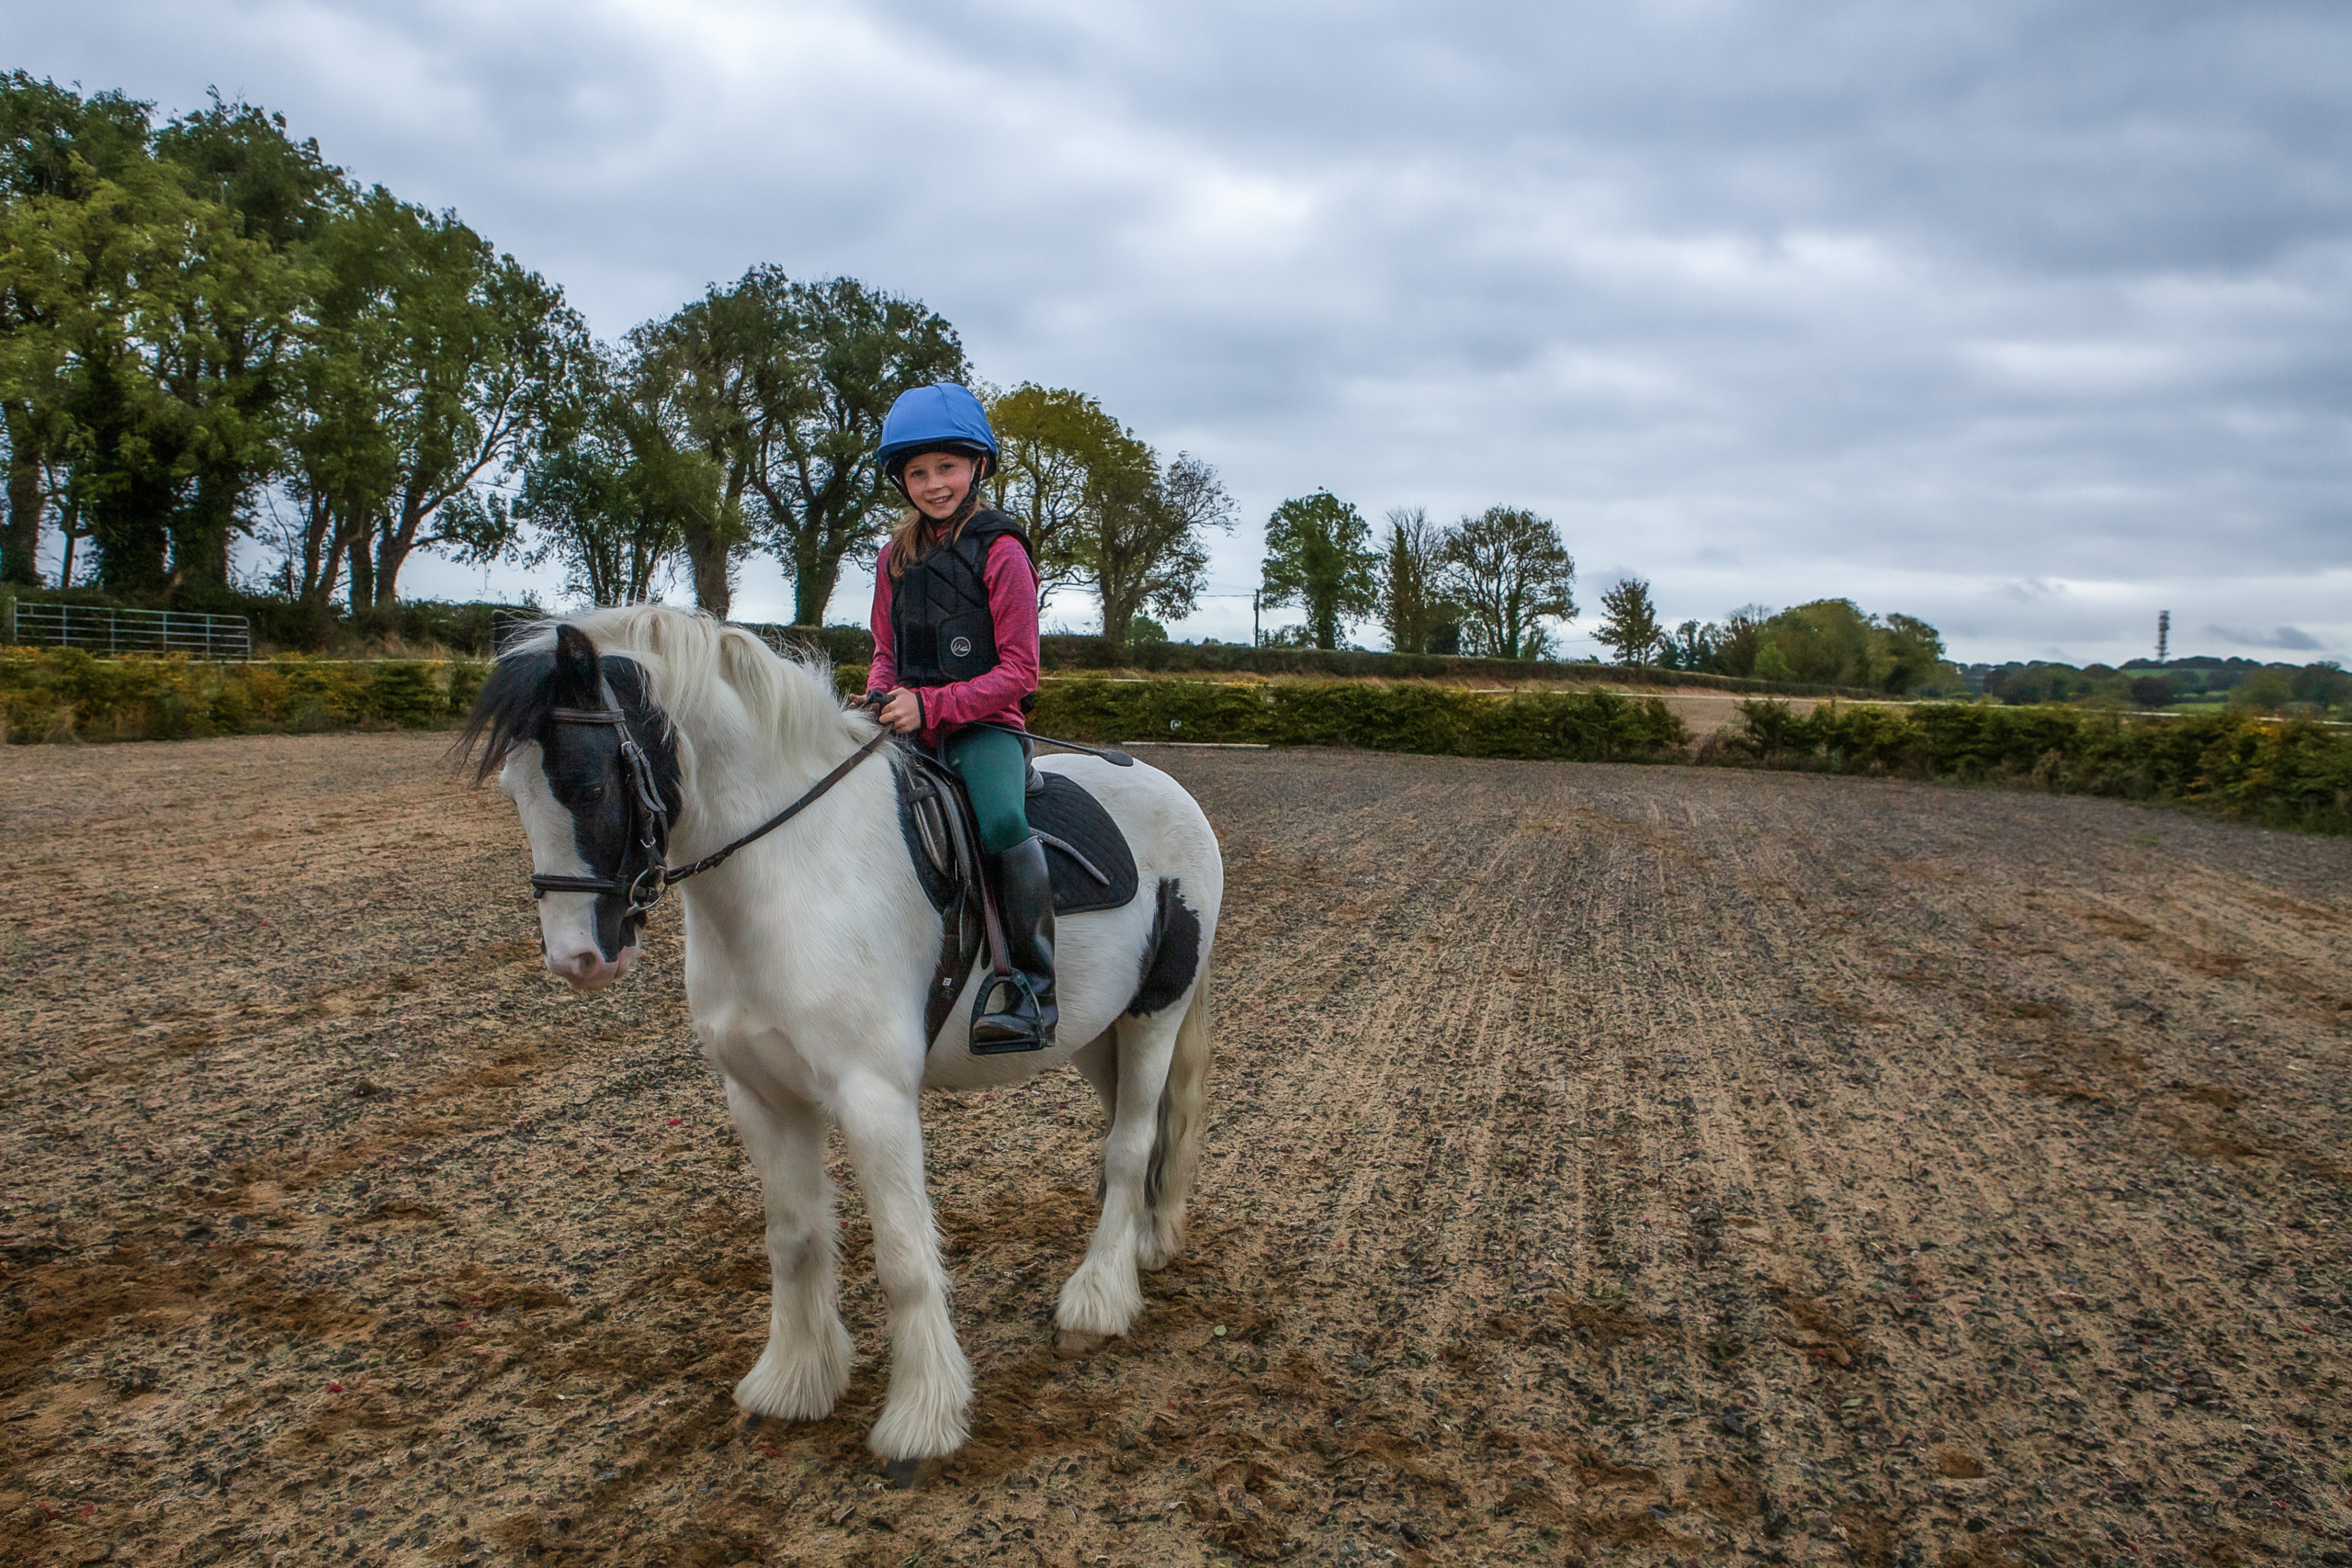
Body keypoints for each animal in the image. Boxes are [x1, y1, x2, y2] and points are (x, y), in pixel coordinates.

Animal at [463, 611, 1232, 1476]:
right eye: (515, 793)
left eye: (590, 784)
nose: (577, 959)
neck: (792, 868)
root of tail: (1172, 789)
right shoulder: (760, 1093)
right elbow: (794, 1239)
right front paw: (794, 1381)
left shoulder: (874, 1097)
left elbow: (902, 1257)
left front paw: (921, 1419)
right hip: (1097, 1032)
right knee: (1138, 1137)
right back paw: (1143, 1247)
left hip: (1155, 1015)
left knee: (1129, 1146)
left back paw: (1097, 1299)